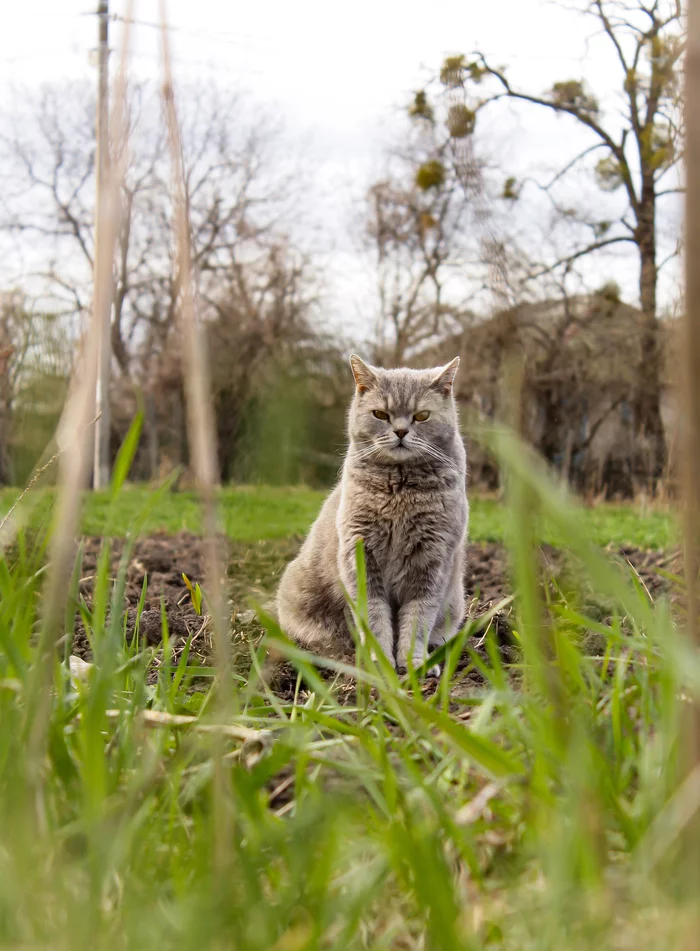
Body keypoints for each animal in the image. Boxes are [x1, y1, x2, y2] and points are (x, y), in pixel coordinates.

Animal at [276, 354, 468, 672]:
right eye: (380, 414)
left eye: (421, 416)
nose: (401, 431)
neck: (400, 492)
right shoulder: (360, 553)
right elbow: (374, 616)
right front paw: (380, 662)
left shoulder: (434, 558)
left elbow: (418, 617)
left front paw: (413, 664)